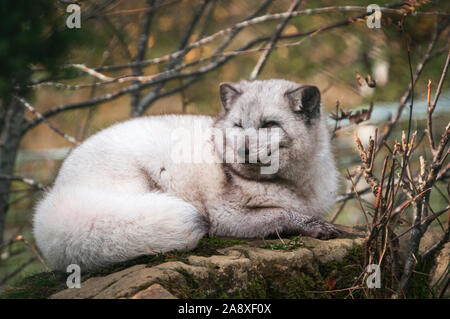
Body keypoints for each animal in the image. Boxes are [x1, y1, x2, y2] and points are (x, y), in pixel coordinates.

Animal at [33, 79, 340, 272]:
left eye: (269, 125)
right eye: (239, 126)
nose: (241, 150)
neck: (293, 183)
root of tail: (56, 193)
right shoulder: (226, 216)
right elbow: (280, 214)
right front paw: (312, 225)